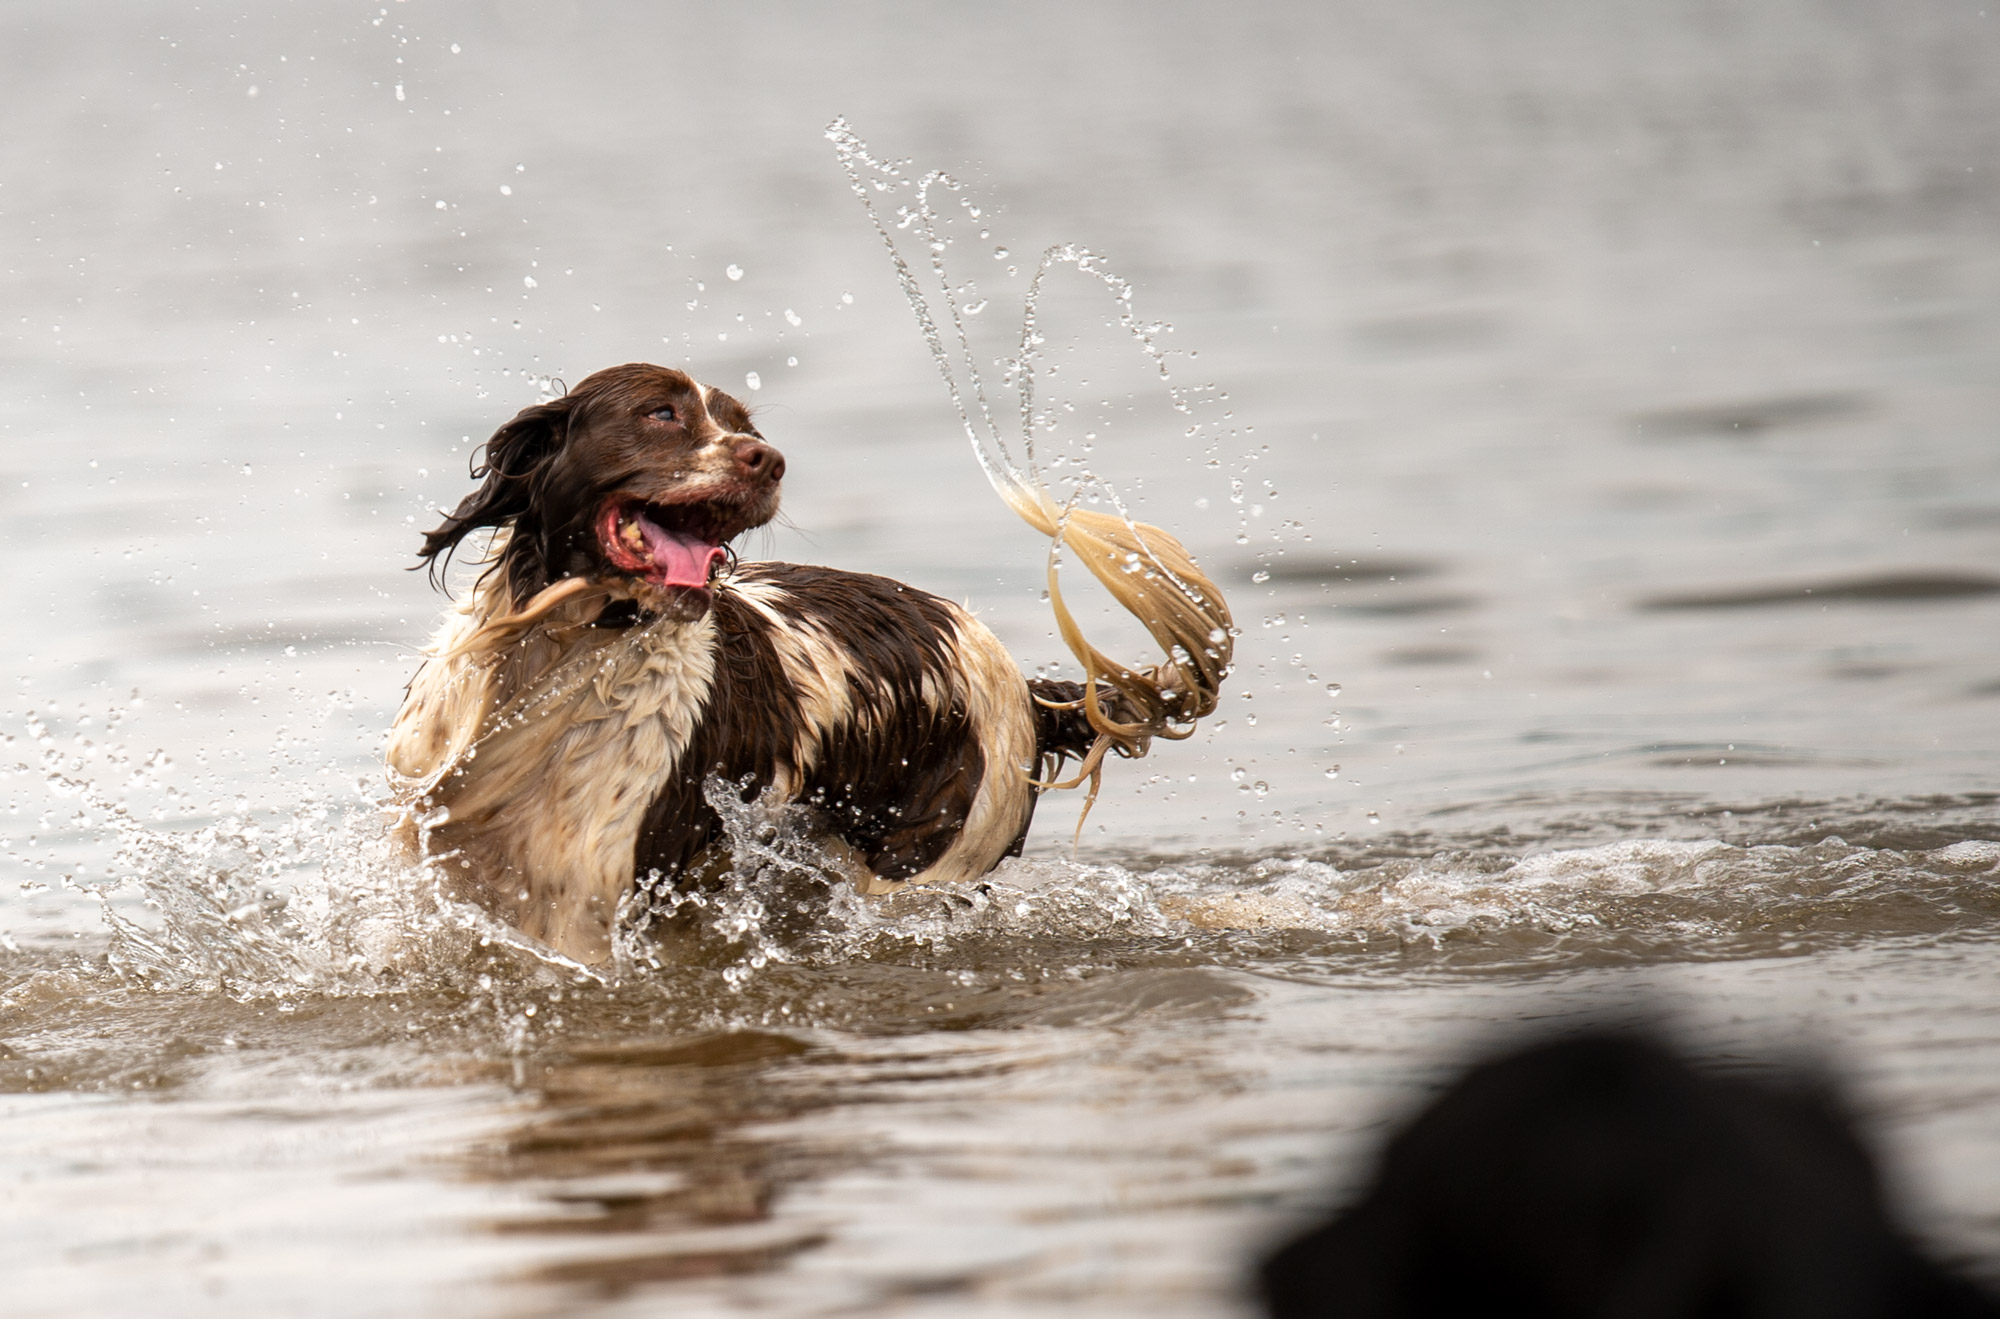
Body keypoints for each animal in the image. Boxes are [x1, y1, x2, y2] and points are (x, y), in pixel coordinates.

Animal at [386, 359, 1232, 959]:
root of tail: (1023, 683)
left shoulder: (586, 900)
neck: (564, 653)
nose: (767, 459)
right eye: (660, 412)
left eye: (743, 423)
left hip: (924, 864)